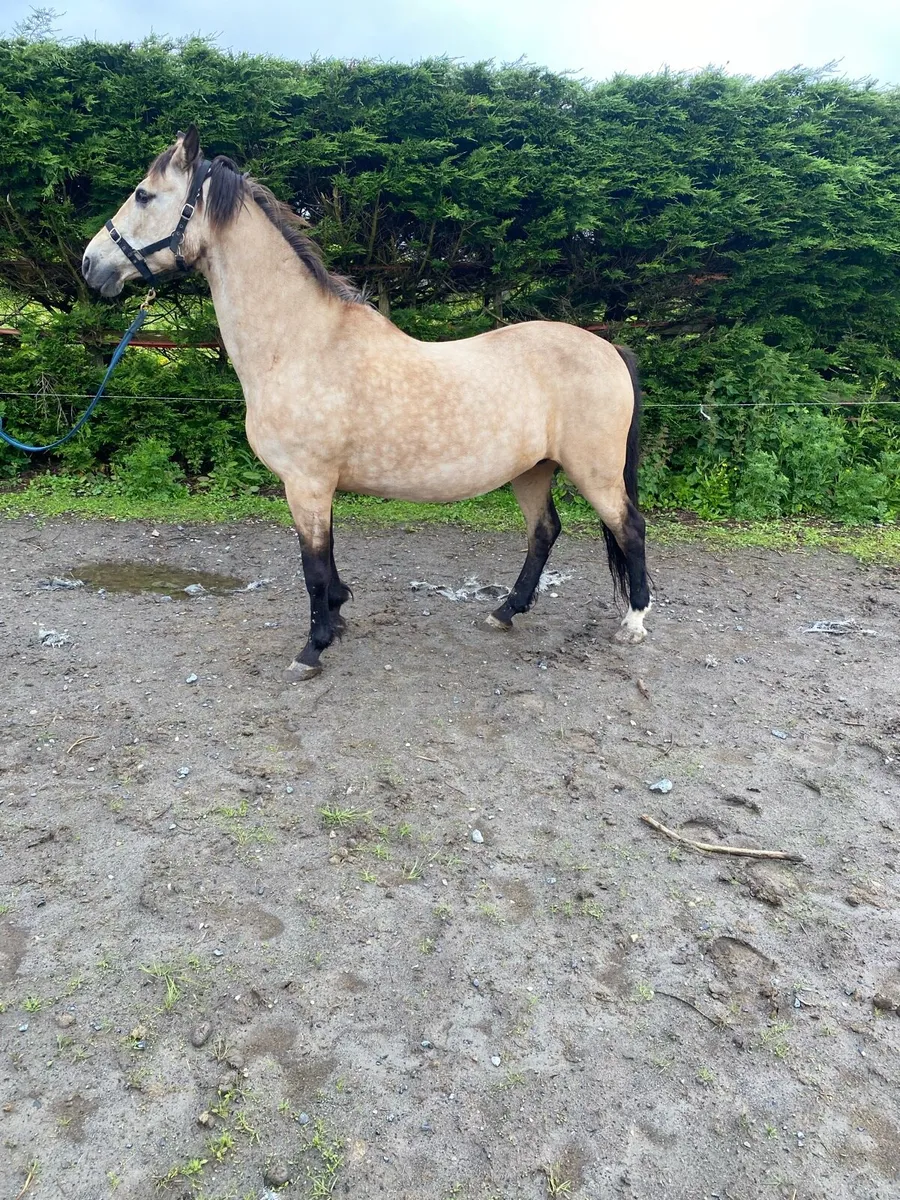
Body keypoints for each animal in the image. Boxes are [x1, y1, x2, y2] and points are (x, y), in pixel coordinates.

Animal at [82, 127, 651, 680]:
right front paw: (337, 617)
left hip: (594, 472)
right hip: (534, 469)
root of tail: (609, 349)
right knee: (544, 532)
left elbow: (313, 567)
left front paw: (312, 649)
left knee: (630, 528)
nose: (91, 265)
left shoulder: (306, 483)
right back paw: (505, 611)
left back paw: (634, 622)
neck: (301, 343)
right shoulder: (318, 486)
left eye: (143, 194)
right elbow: (327, 561)